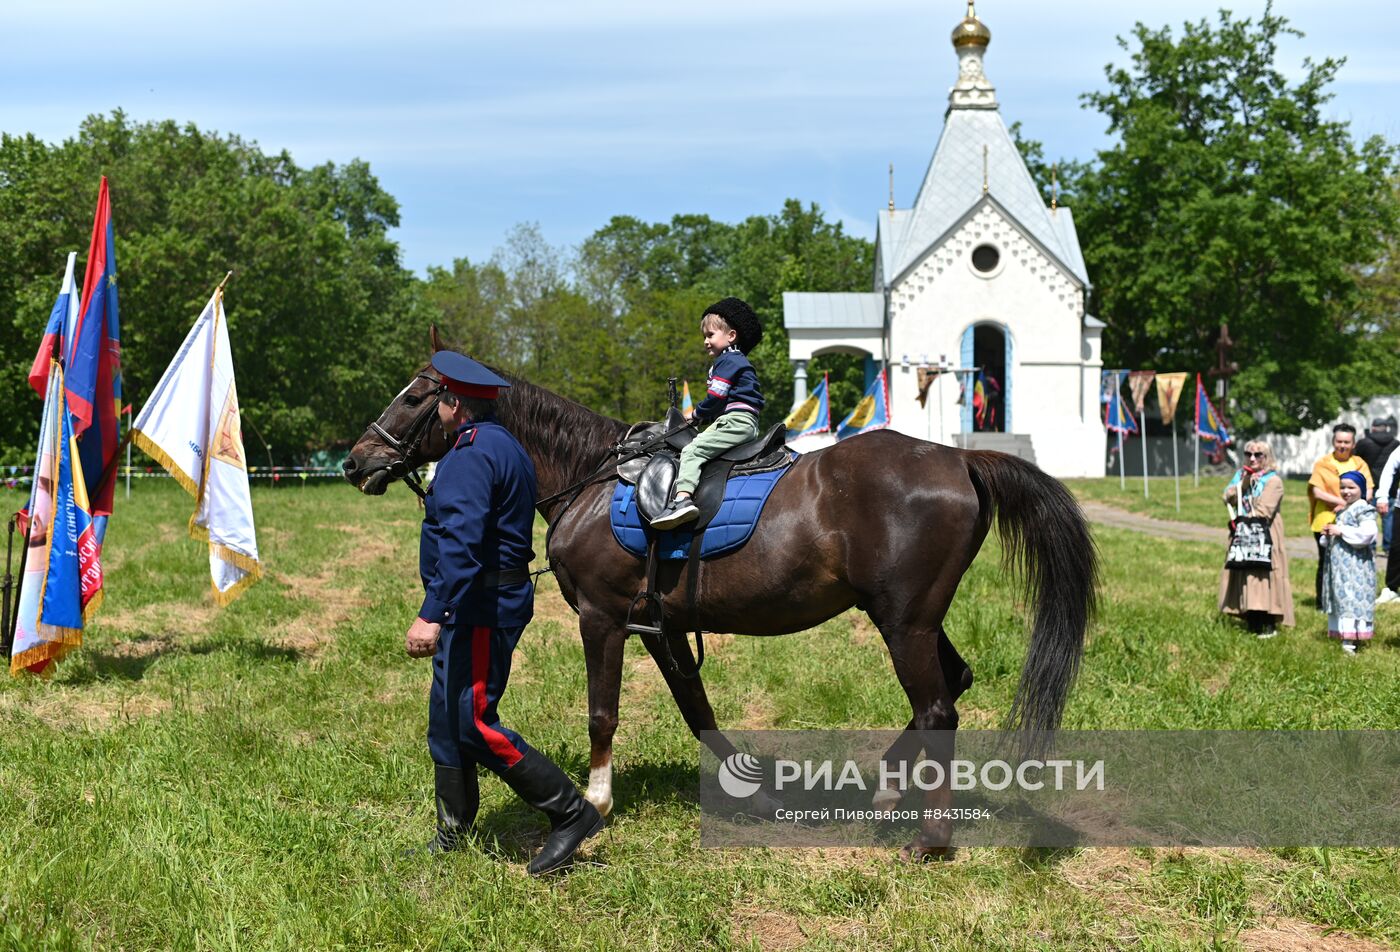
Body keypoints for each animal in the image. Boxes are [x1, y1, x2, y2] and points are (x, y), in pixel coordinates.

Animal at [344, 336, 1097, 862]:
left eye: (413, 396)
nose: (355, 461)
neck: (591, 478)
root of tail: (958, 458)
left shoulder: (603, 620)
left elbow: (602, 713)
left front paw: (596, 802)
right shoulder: (662, 627)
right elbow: (696, 709)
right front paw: (748, 787)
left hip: (904, 622)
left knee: (939, 706)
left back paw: (931, 839)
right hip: (908, 617)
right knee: (955, 682)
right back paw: (887, 788)